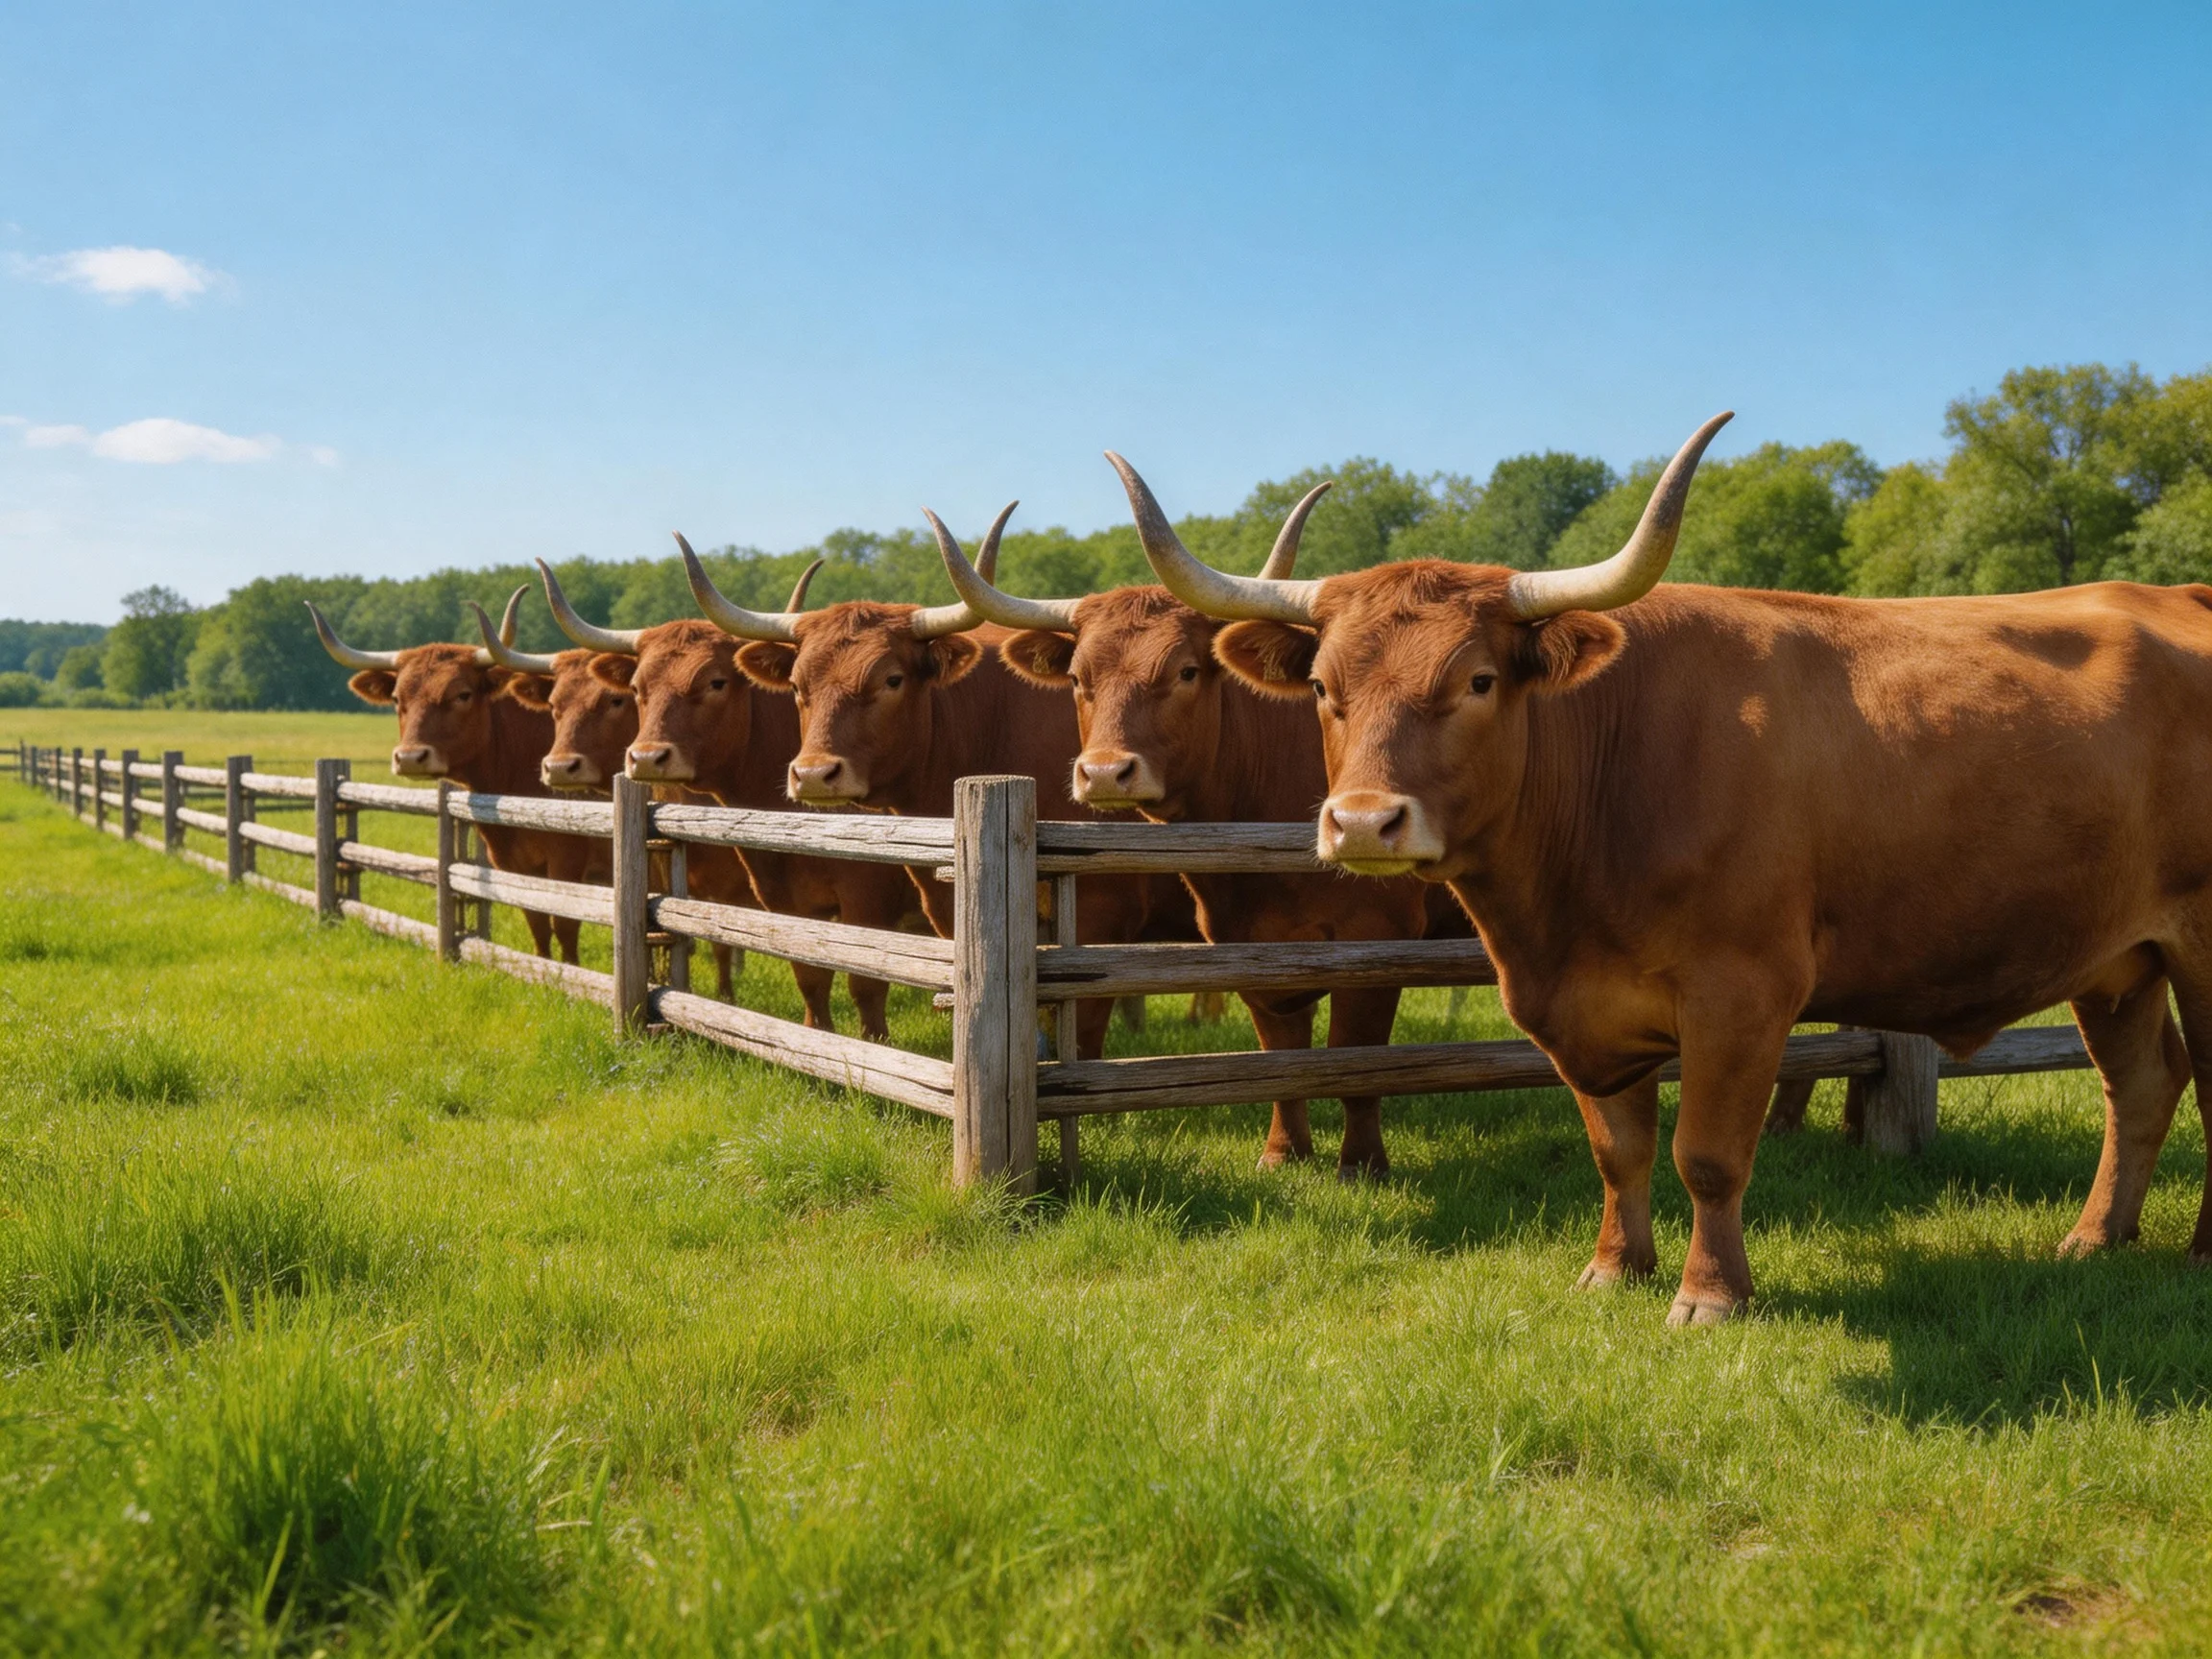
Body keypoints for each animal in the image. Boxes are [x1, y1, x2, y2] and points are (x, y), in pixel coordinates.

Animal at [308, 589, 602, 962]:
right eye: (396, 698)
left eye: (462, 694)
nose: (410, 758)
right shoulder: (516, 865)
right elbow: (537, 923)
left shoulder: (568, 860)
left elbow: (565, 924)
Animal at [536, 561, 913, 1041]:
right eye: (637, 688)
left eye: (715, 681)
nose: (646, 758)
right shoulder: (777, 899)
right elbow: (808, 974)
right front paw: (813, 1033)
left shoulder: (868, 898)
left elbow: (866, 980)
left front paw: (870, 1046)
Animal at [932, 488, 1471, 1176]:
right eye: (1078, 679)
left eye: (1187, 671)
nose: (1104, 772)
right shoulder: (1247, 944)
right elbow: (1281, 1053)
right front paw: (1283, 1153)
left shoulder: (1380, 936)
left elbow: (1359, 1059)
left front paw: (1360, 1163)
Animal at [1112, 415, 2212, 1325]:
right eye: (1322, 688)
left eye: (1478, 680)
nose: (1364, 823)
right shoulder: (1585, 1004)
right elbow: (1620, 1147)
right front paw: (1614, 1270)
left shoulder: (1743, 993)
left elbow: (1709, 1155)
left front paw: (1710, 1295)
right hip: (2118, 958)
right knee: (2143, 1084)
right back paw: (2093, 1240)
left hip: (2198, 944)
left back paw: (2194, 1256)